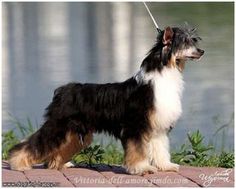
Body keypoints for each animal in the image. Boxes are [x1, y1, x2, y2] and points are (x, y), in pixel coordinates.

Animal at [8, 25, 204, 175]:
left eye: (192, 40)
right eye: (185, 42)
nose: (201, 51)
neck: (162, 74)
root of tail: (63, 91)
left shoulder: (157, 128)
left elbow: (160, 149)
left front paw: (165, 166)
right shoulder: (136, 127)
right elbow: (138, 150)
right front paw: (142, 168)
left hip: (75, 132)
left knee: (56, 150)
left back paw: (58, 164)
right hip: (59, 126)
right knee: (32, 144)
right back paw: (17, 163)